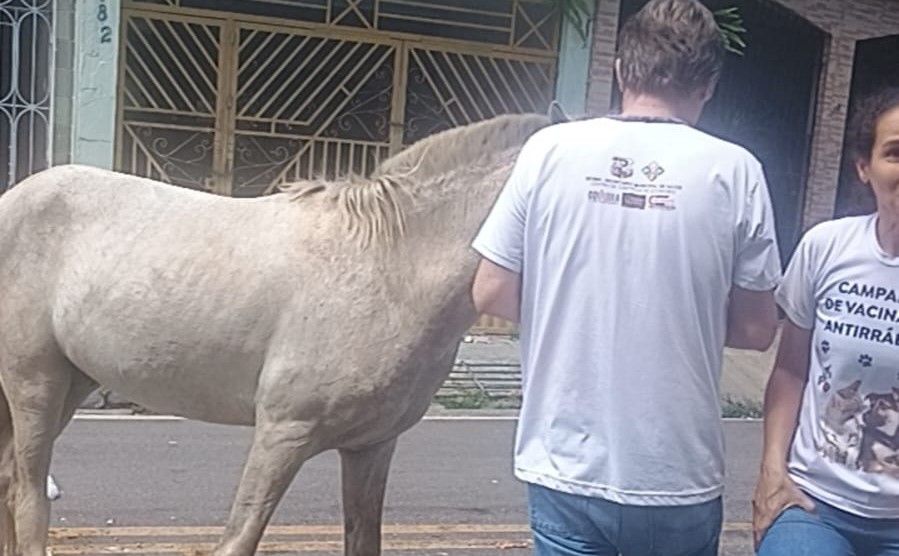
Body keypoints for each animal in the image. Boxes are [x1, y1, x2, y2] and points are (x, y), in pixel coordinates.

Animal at [0, 112, 553, 556]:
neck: (389, 265)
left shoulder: (371, 447)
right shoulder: (283, 434)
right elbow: (238, 540)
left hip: (72, 383)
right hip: (35, 384)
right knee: (28, 496)